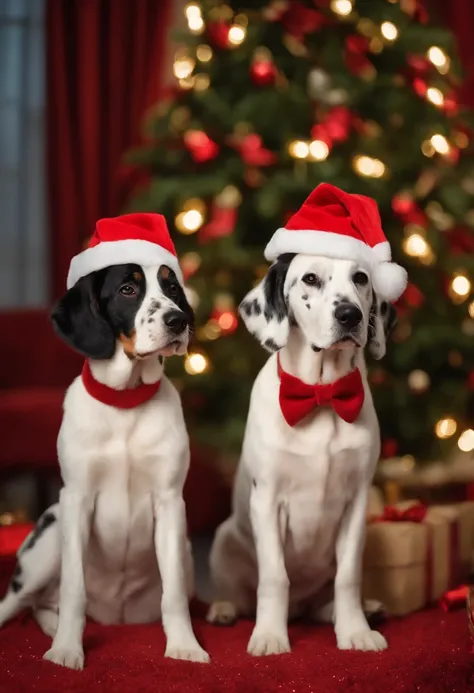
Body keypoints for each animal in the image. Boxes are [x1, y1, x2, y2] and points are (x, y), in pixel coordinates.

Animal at [0, 258, 209, 664]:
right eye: (128, 290)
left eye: (172, 288)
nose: (178, 321)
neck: (125, 402)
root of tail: (116, 618)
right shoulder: (77, 499)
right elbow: (73, 588)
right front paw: (67, 649)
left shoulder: (170, 502)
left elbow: (174, 593)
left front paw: (184, 645)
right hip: (48, 540)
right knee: (19, 601)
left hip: (187, 558)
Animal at [207, 253, 396, 656]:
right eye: (310, 279)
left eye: (361, 278)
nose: (349, 315)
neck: (322, 395)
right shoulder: (267, 502)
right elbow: (275, 577)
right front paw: (269, 635)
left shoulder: (356, 503)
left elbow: (348, 576)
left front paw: (355, 630)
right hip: (225, 537)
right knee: (237, 595)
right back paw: (223, 609)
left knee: (322, 603)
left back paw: (358, 610)